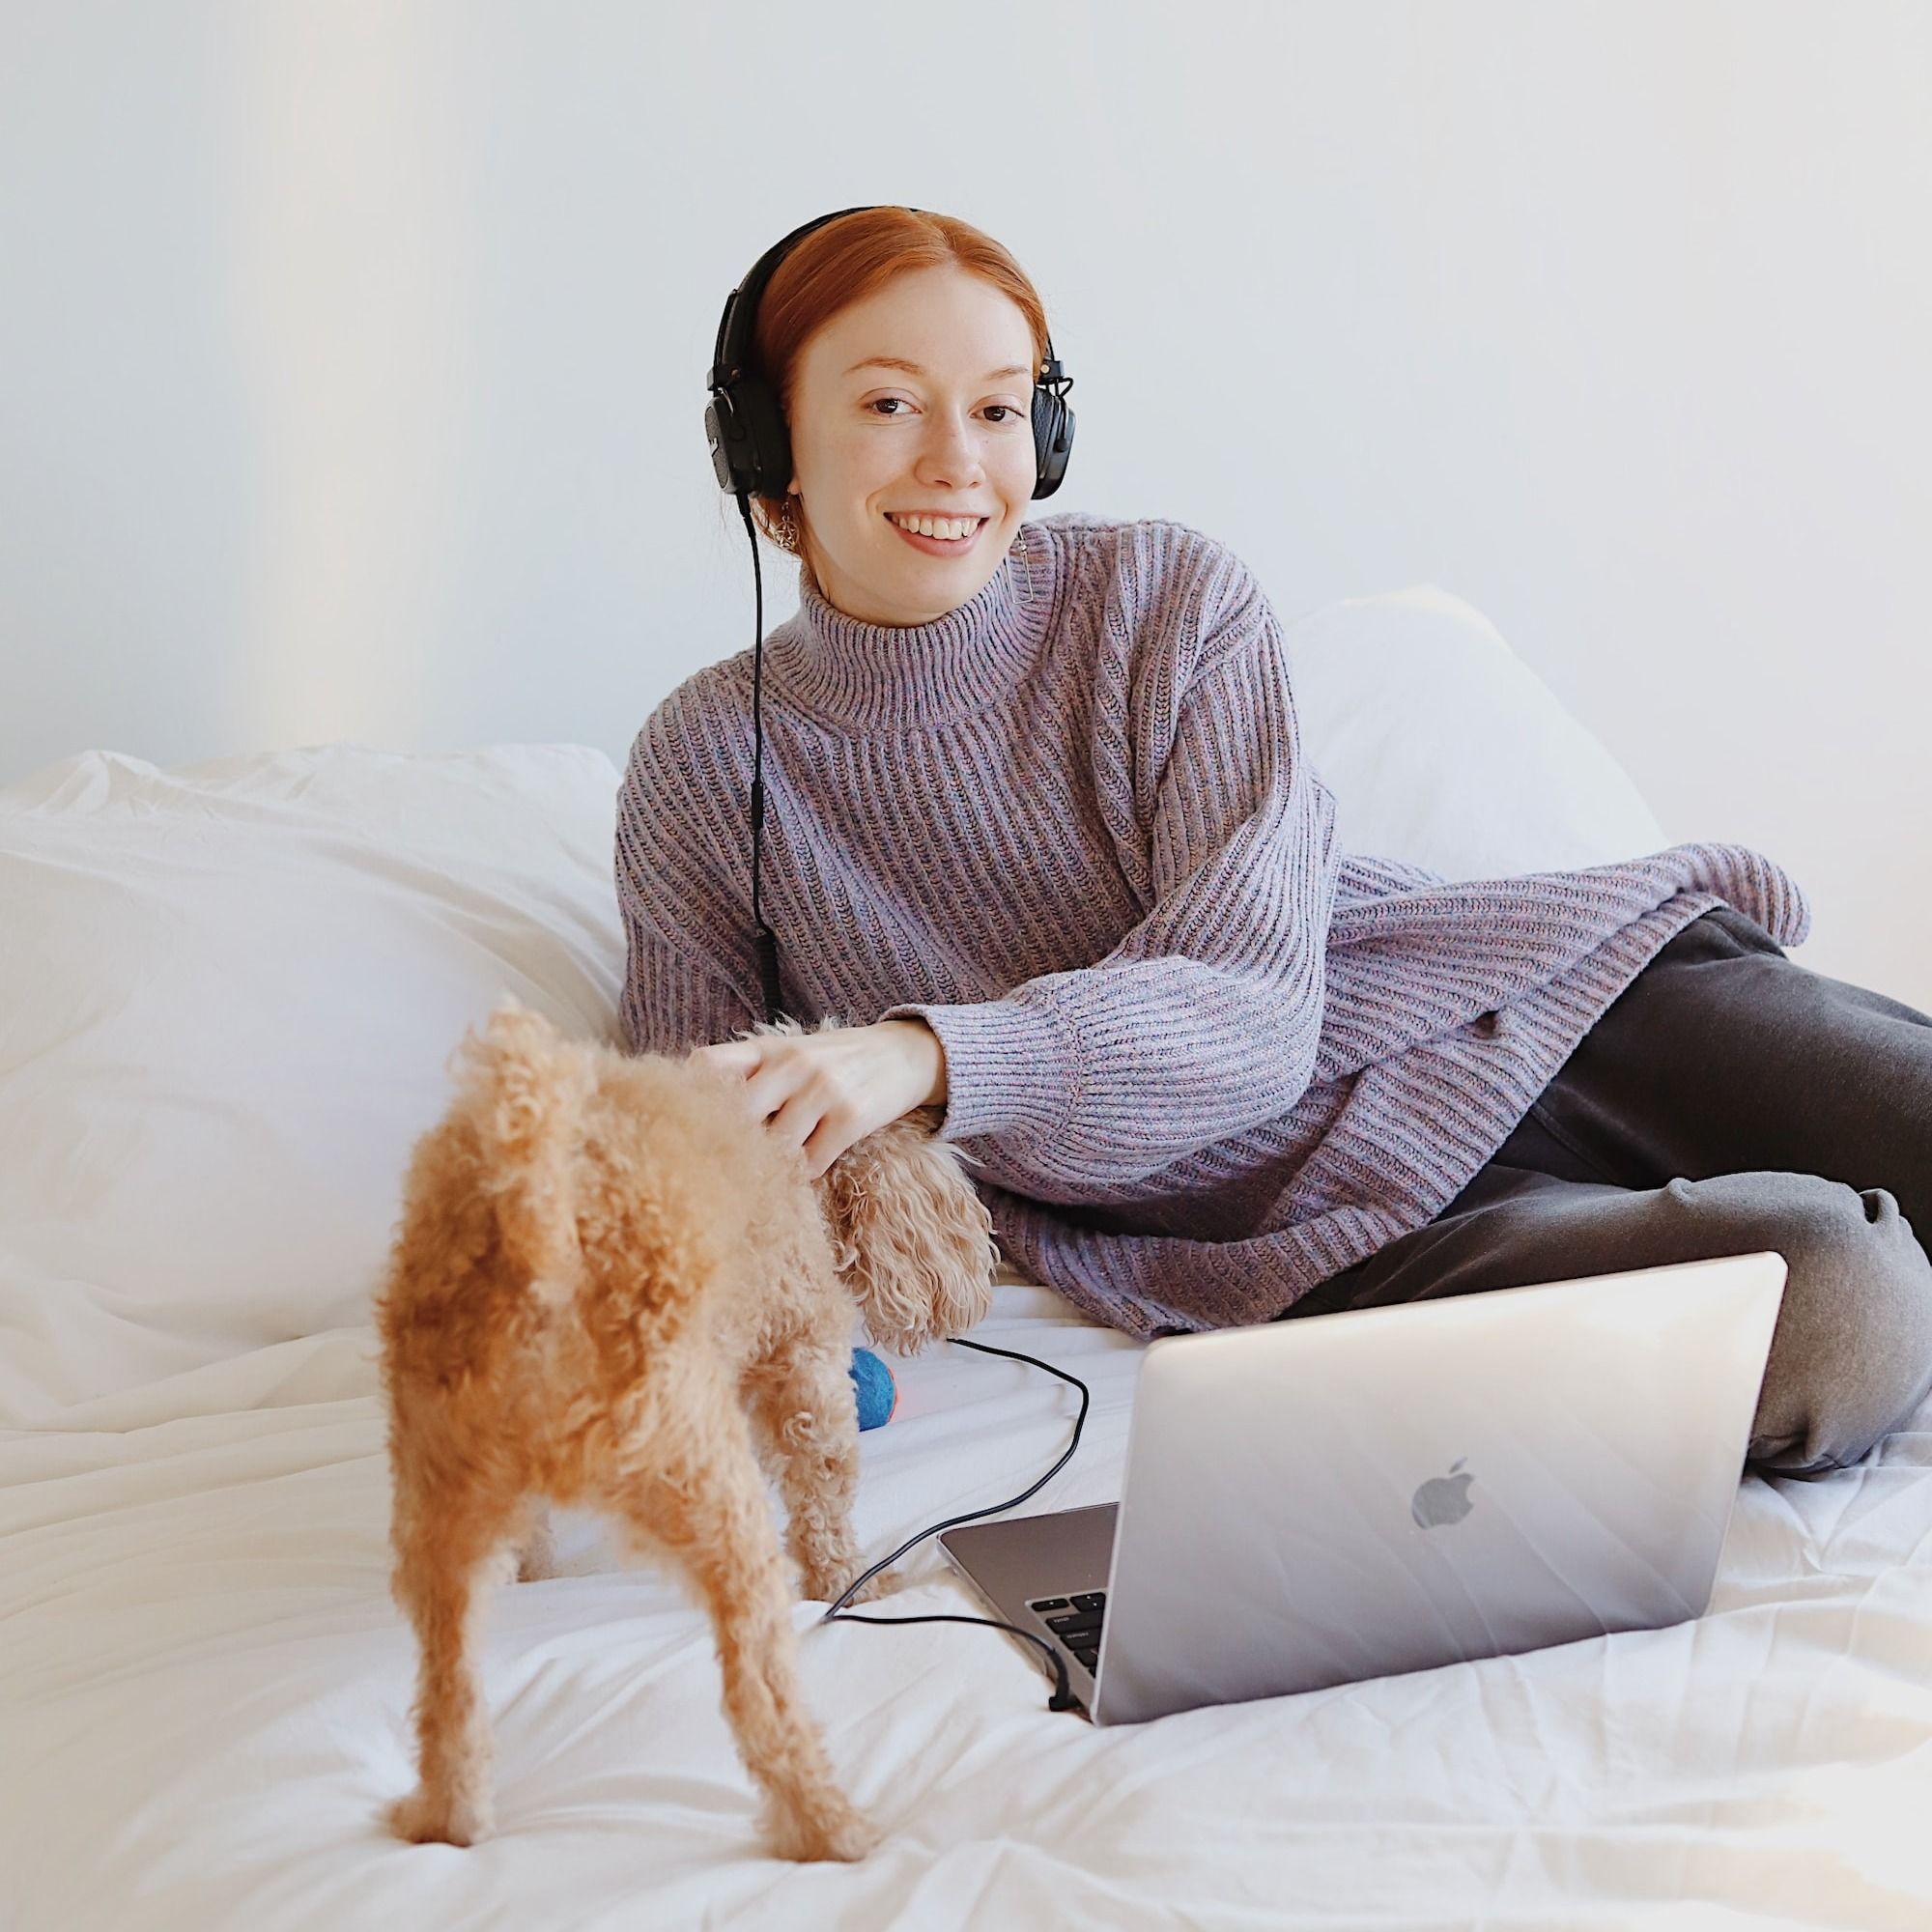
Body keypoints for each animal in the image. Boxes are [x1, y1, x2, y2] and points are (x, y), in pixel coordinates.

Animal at [373, 997, 997, 1855]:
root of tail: (540, 1229)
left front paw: (534, 1569)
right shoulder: (805, 1361)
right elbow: (824, 1495)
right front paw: (852, 1579)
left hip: (436, 1519)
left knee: (448, 1700)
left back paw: (444, 1820)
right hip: (711, 1494)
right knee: (759, 1697)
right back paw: (833, 1830)